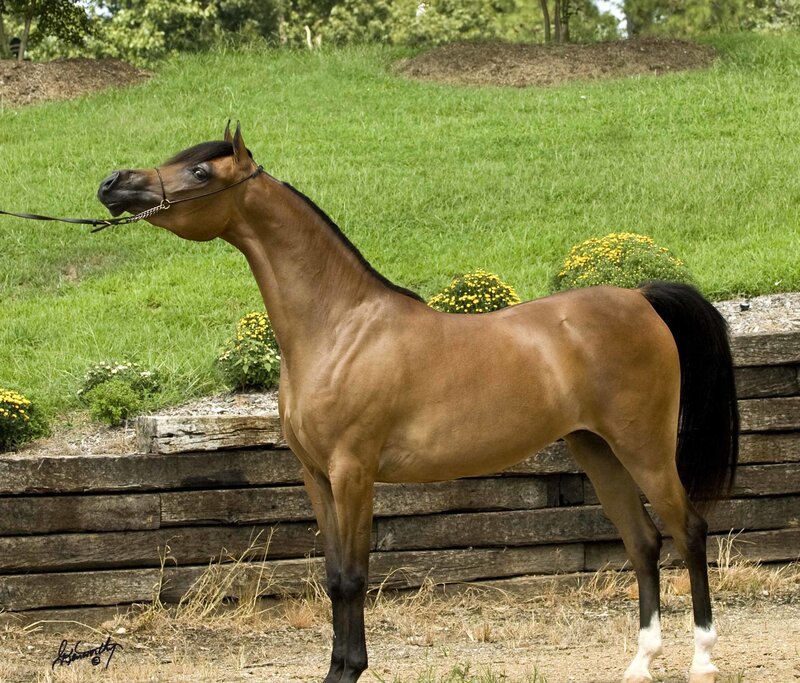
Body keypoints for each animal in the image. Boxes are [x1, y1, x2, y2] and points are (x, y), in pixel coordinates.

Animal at [97, 123, 739, 683]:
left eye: (200, 170)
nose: (112, 182)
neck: (340, 328)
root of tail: (641, 297)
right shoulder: (315, 476)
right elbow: (332, 574)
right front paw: (335, 668)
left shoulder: (353, 473)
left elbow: (354, 577)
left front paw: (350, 670)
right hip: (597, 449)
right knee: (643, 541)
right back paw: (640, 664)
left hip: (644, 446)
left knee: (689, 529)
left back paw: (703, 661)